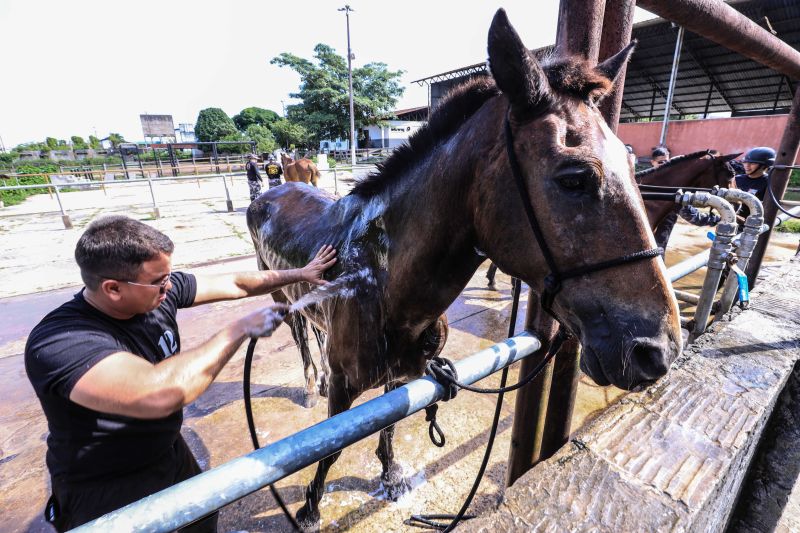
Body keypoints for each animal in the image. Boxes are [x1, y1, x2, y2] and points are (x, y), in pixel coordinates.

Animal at [247, 8, 680, 528]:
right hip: (279, 298)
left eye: (635, 167)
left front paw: (390, 475)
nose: (657, 351)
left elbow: (388, 427)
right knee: (299, 338)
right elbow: (329, 451)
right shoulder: (346, 392)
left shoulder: (402, 376)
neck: (380, 281)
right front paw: (310, 507)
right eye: (574, 178)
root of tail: (270, 192)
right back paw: (310, 386)